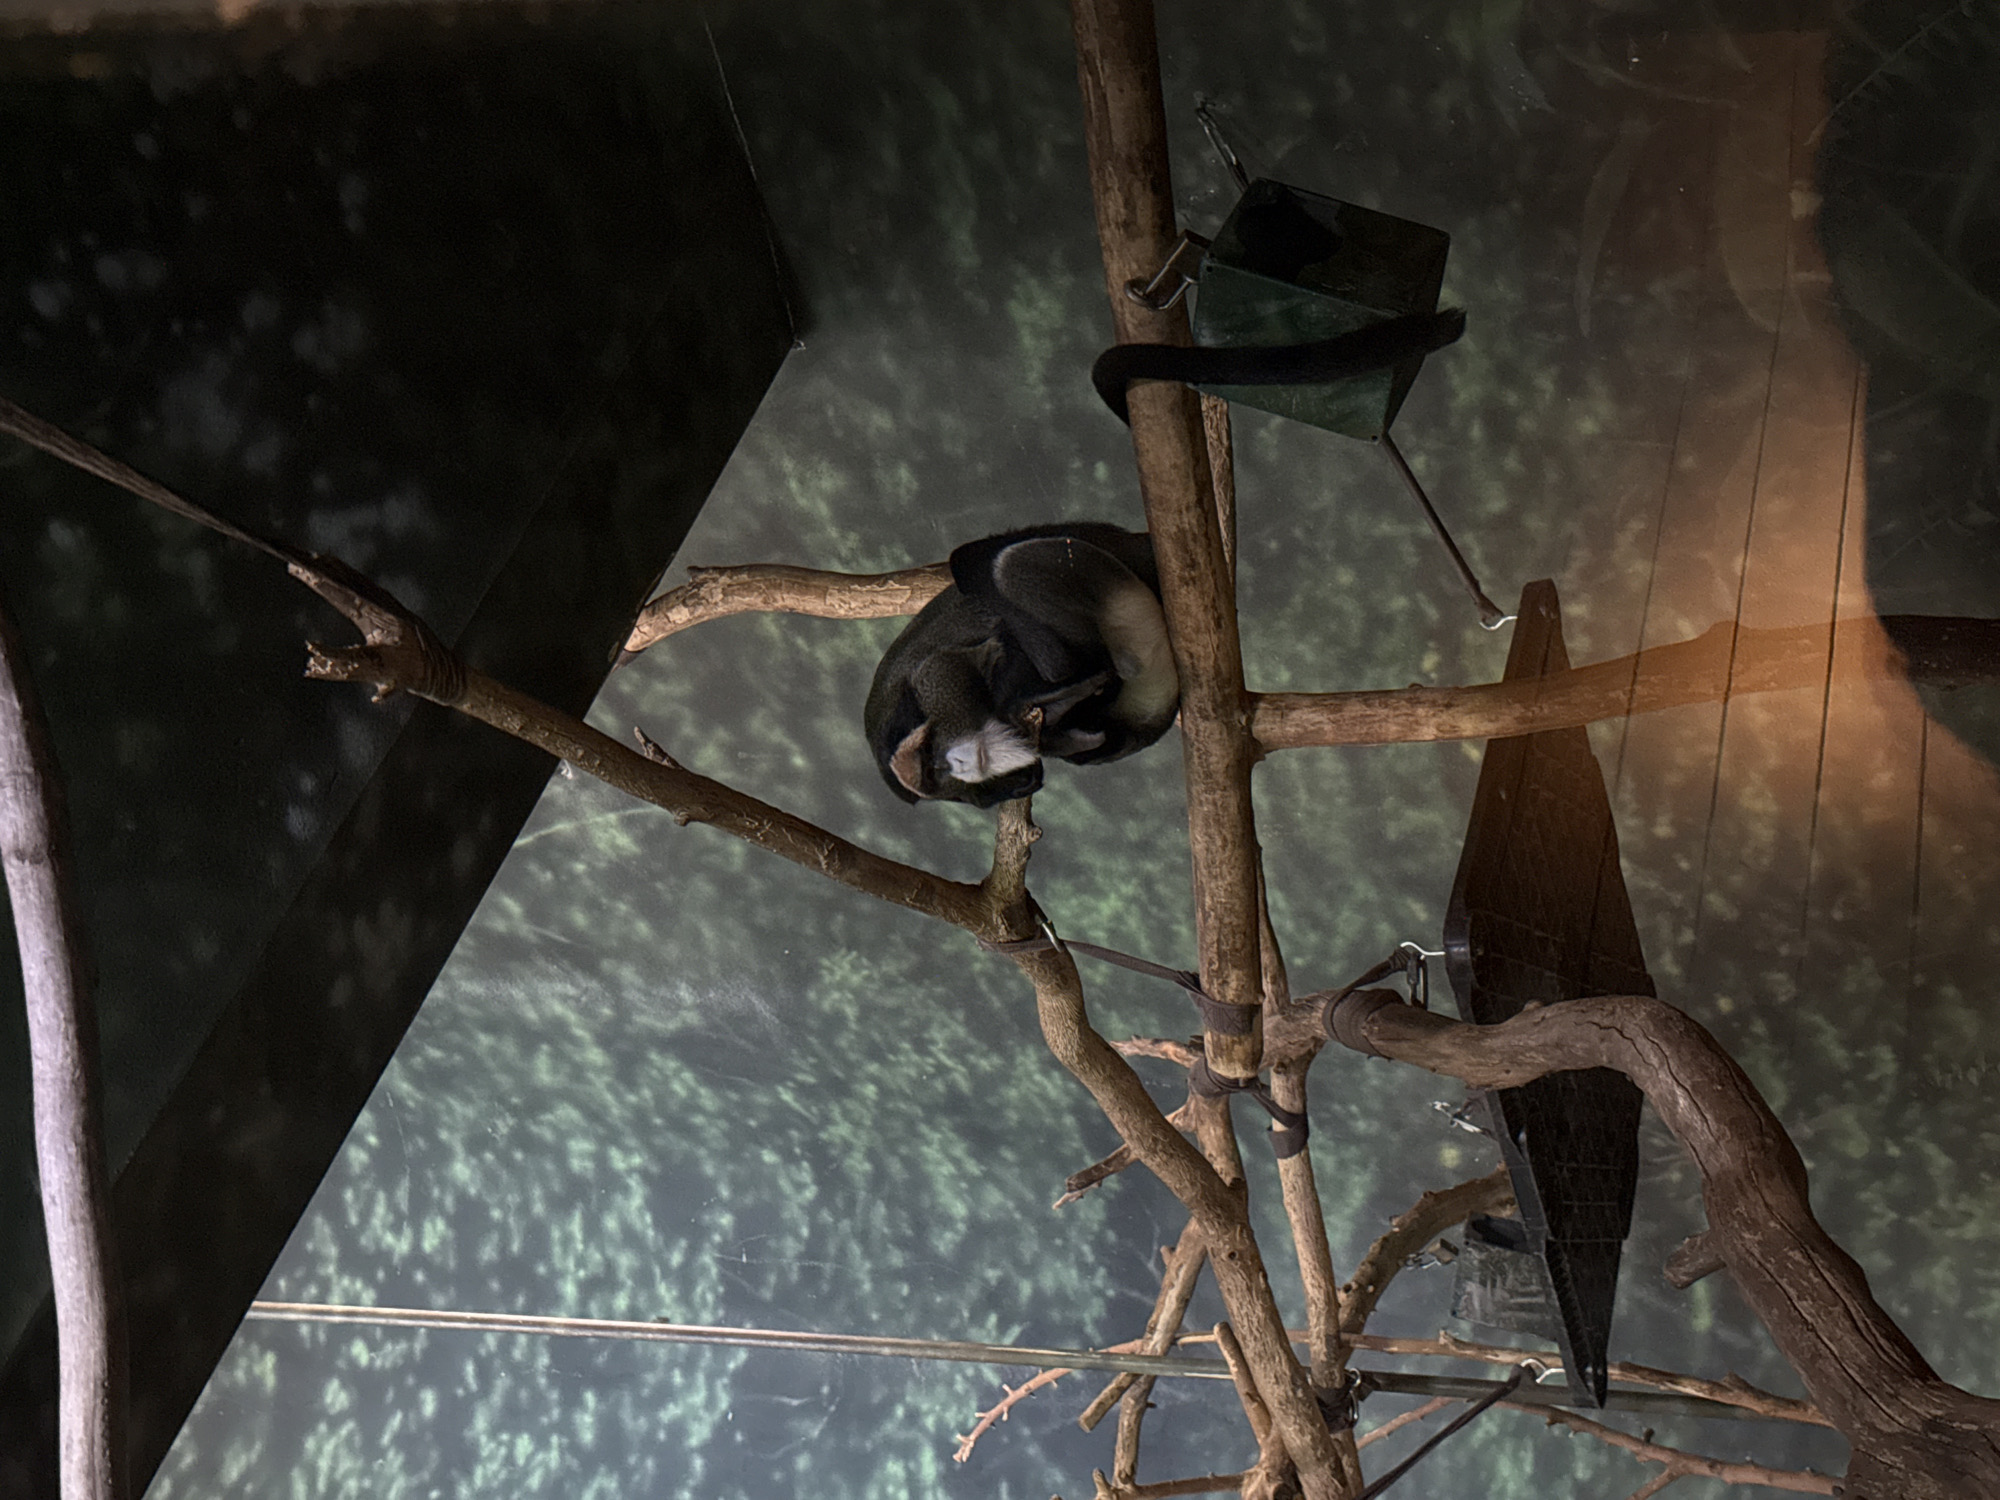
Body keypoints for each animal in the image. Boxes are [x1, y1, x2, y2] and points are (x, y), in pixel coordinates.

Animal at [863, 523, 1178, 807]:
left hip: (1116, 594)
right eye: (932, 773)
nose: (957, 765)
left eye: (928, 752)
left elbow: (972, 559)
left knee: (1008, 561)